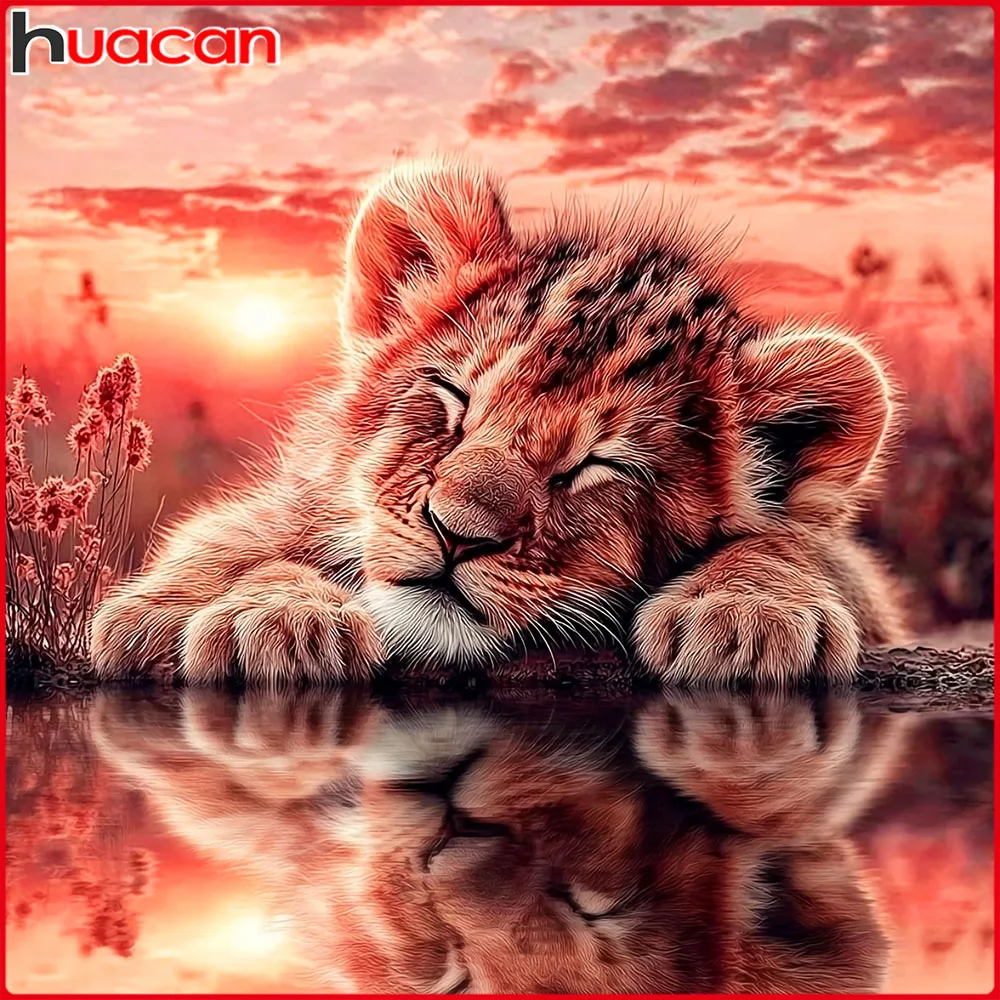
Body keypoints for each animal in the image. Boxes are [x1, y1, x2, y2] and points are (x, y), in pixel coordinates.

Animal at [90, 158, 905, 684]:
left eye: (597, 465)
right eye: (454, 399)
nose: (457, 535)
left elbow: (797, 545)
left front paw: (745, 614)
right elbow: (240, 544)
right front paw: (267, 618)